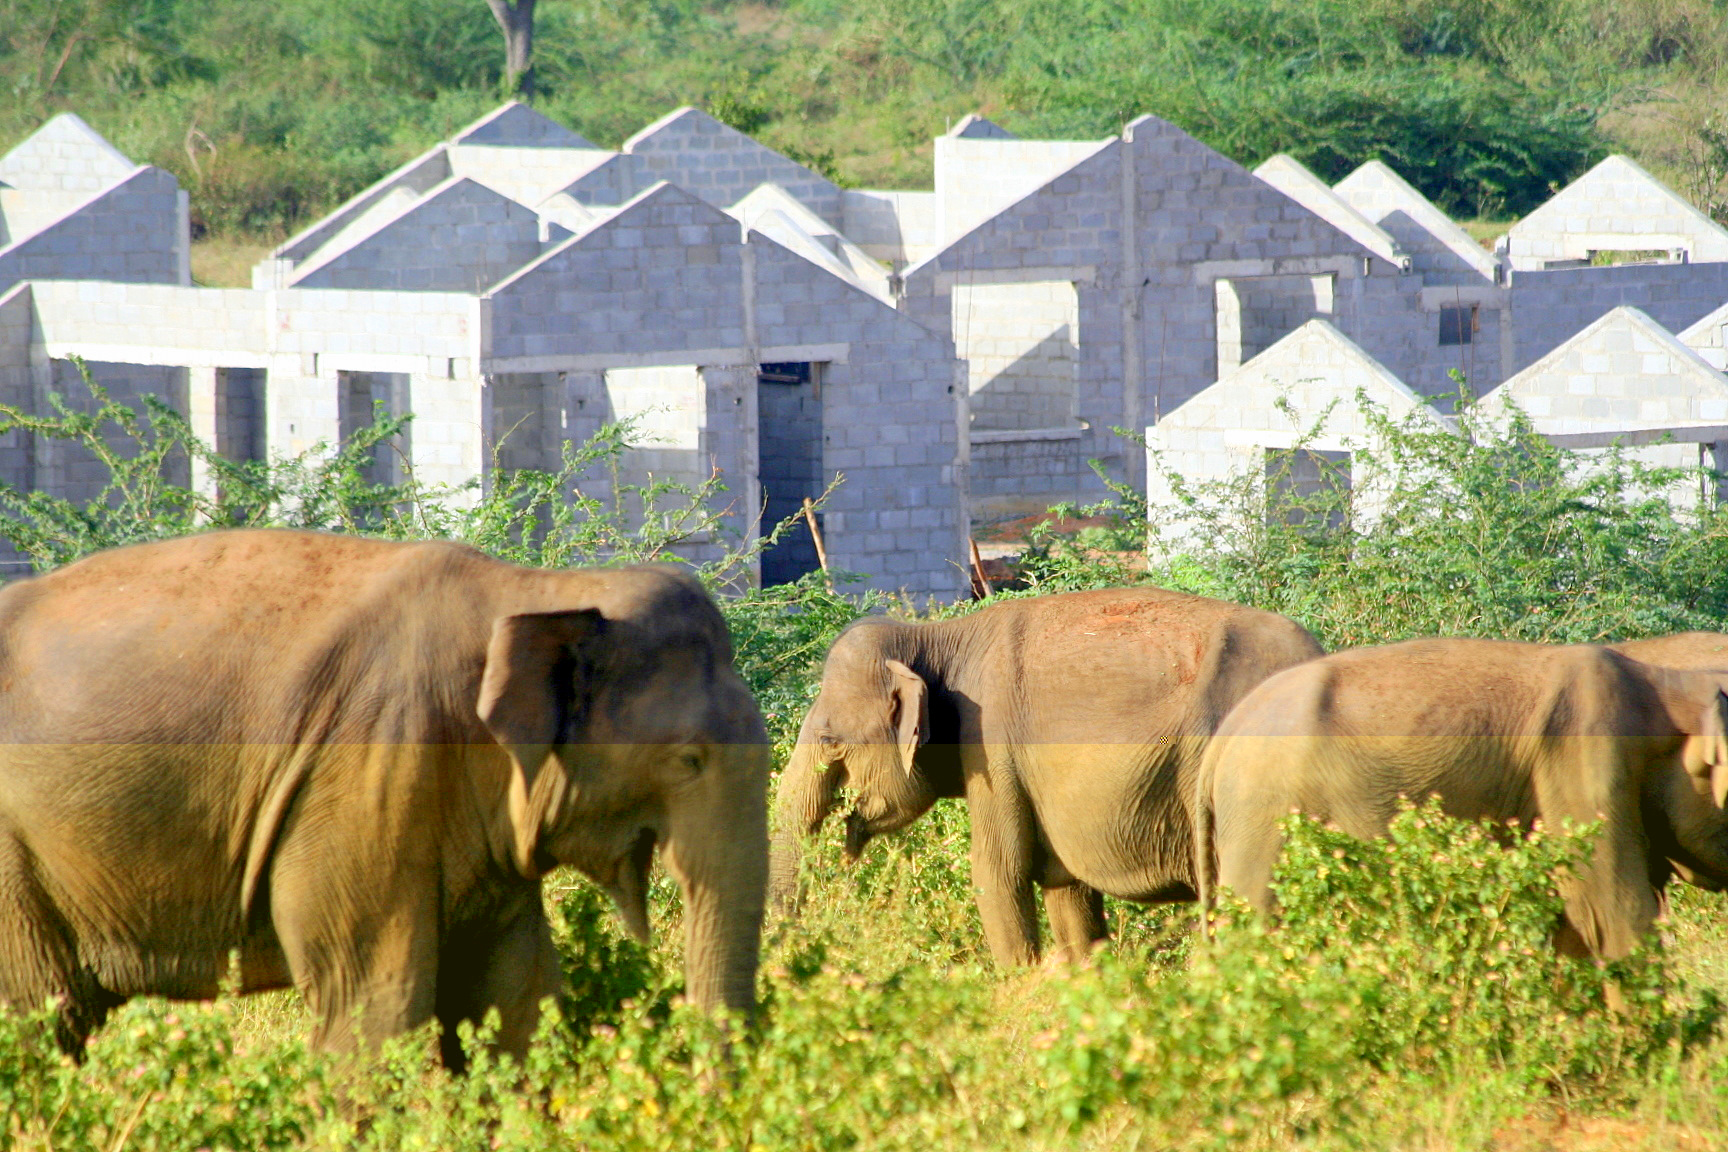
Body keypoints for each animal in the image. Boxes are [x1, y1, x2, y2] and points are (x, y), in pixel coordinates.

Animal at [0, 528, 770, 1063]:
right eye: (690, 759)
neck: (539, 590)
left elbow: (514, 997)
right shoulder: (370, 771)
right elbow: (376, 1002)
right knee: (35, 1016)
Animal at [1195, 635, 1728, 960]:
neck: (1665, 680)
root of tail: (1225, 736)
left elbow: (1573, 927)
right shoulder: (1585, 760)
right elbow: (1612, 913)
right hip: (1265, 809)